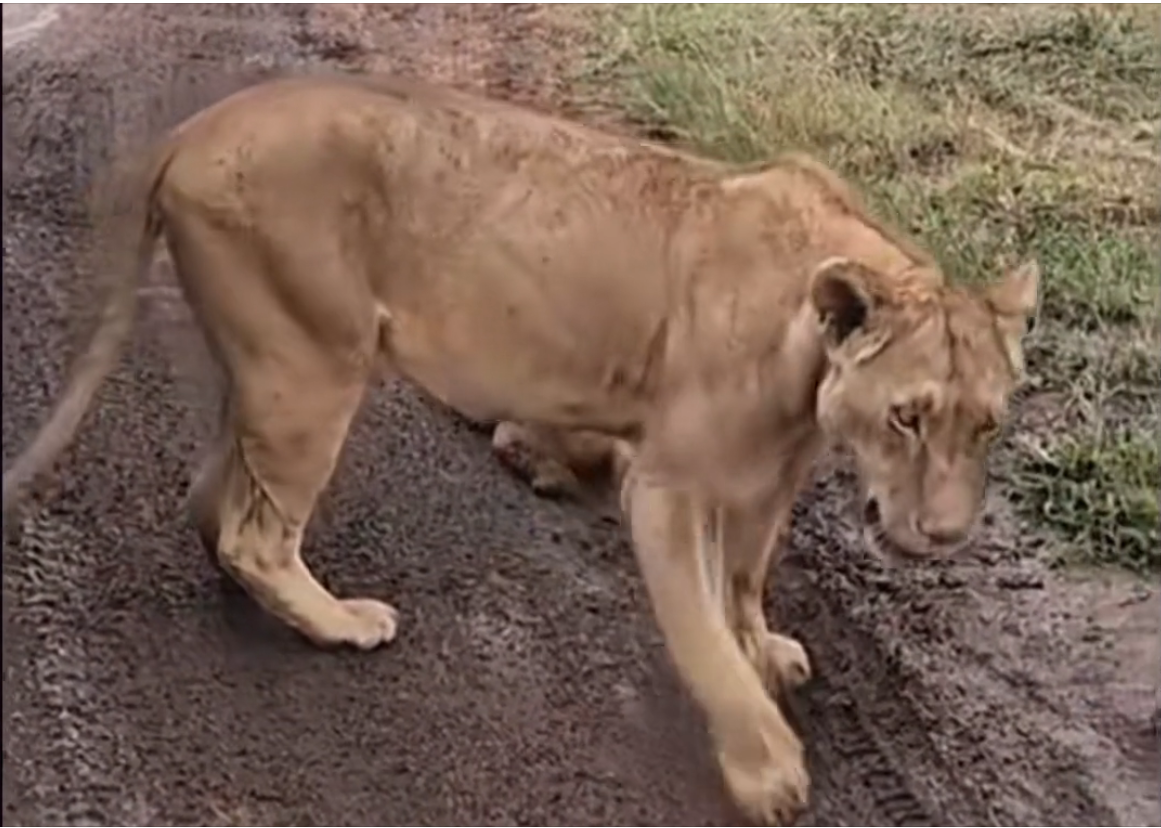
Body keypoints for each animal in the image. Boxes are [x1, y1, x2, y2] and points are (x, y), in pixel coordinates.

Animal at [1, 72, 1038, 825]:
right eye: (907, 417)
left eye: (984, 423)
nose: (945, 537)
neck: (809, 365)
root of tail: (193, 128)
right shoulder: (667, 484)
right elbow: (701, 634)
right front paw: (766, 767)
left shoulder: (762, 482)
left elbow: (742, 586)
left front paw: (764, 649)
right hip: (314, 364)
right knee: (255, 531)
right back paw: (338, 621)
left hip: (269, 361)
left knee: (214, 496)